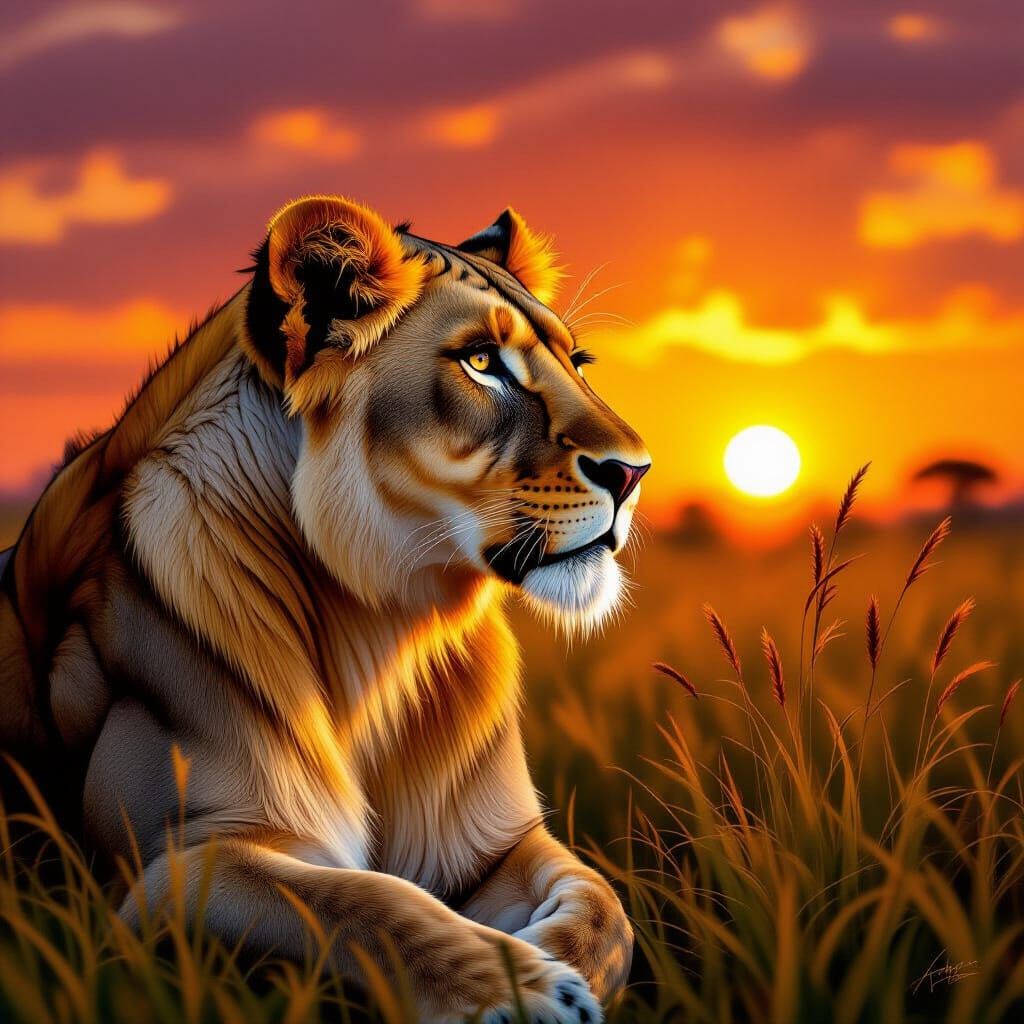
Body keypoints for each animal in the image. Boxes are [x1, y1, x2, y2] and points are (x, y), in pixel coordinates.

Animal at [0, 196, 650, 1022]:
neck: (385, 626)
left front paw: (563, 967)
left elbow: (604, 908)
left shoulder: (498, 844)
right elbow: (370, 906)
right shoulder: (173, 872)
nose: (635, 472)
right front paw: (527, 991)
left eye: (579, 362)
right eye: (480, 362)